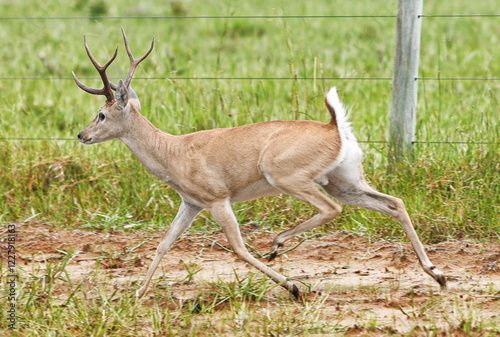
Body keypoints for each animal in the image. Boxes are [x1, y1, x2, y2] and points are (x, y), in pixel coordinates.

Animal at [73, 28, 446, 296]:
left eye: (102, 114)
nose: (81, 135)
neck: (173, 150)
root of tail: (334, 127)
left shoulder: (217, 200)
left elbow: (237, 247)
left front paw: (293, 286)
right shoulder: (191, 204)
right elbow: (164, 243)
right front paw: (137, 295)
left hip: (289, 179)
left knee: (331, 210)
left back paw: (278, 246)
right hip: (343, 182)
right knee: (394, 203)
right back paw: (437, 274)